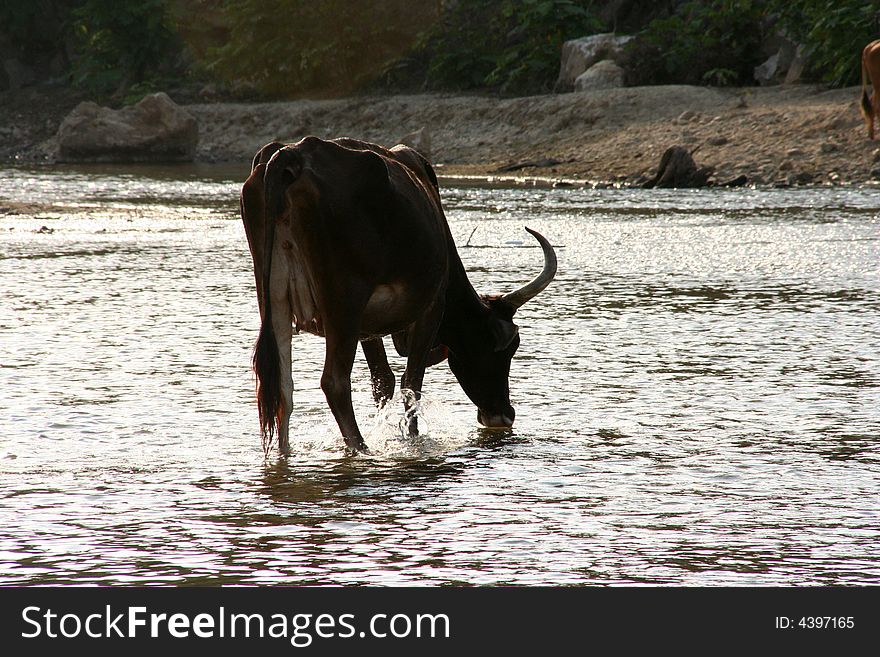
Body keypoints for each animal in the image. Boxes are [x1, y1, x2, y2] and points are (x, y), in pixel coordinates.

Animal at [241, 136, 556, 454]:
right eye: (509, 348)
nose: (502, 415)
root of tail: (291, 155)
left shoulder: (367, 329)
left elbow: (383, 379)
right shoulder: (432, 308)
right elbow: (411, 382)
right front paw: (412, 438)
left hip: (274, 299)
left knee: (280, 386)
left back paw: (285, 454)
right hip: (344, 304)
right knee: (334, 382)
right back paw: (361, 448)